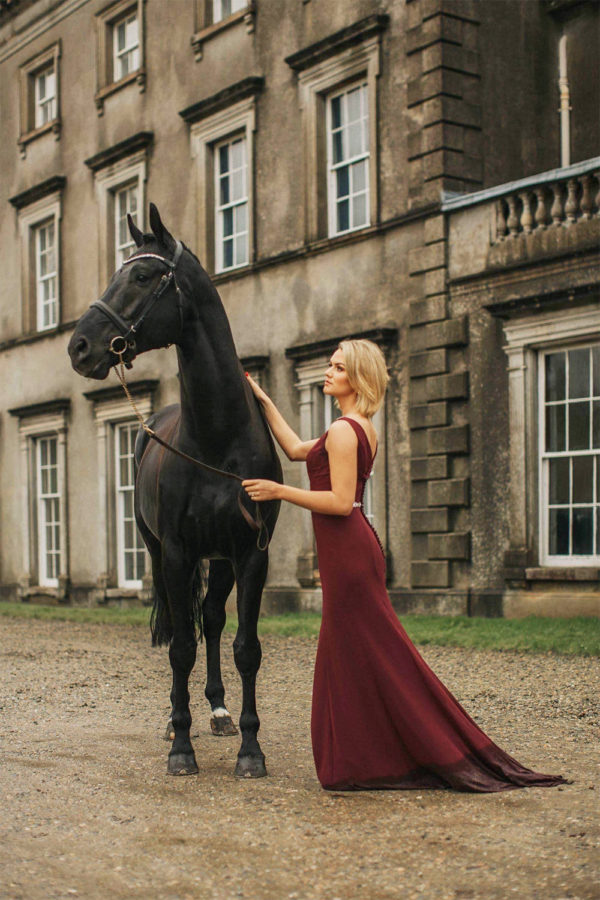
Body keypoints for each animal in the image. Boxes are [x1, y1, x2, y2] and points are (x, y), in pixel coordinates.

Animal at [68, 206, 282, 780]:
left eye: (142, 275)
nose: (79, 346)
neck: (216, 439)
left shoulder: (250, 555)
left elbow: (245, 647)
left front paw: (250, 750)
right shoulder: (179, 552)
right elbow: (181, 647)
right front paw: (180, 747)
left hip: (220, 560)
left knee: (209, 617)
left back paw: (218, 710)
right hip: (158, 551)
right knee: (181, 624)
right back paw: (175, 717)